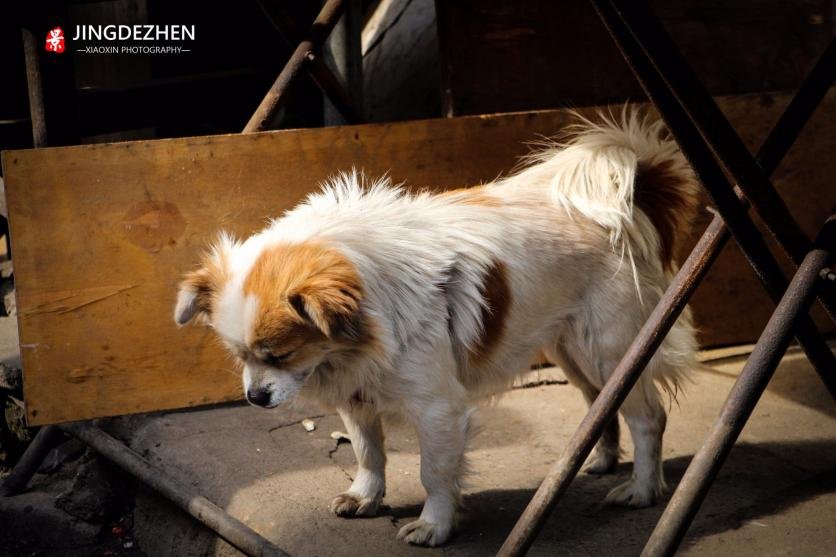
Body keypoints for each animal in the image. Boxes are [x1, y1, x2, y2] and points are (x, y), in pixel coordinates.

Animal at [175, 111, 700, 544]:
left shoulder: (437, 410)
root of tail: (621, 209)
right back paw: (601, 460)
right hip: (572, 351)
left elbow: (435, 472)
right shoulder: (357, 396)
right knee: (600, 403)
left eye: (280, 355)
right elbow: (368, 452)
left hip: (612, 349)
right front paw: (366, 497)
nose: (254, 397)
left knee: (648, 417)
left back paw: (642, 489)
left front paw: (434, 526)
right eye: (239, 357)